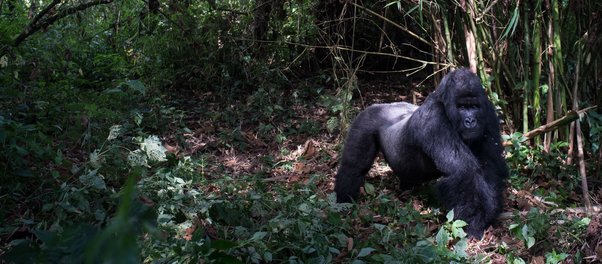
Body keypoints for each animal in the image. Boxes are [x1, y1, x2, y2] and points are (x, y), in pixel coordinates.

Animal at [332, 69, 506, 238]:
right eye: (462, 107)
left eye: (474, 107)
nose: (471, 121)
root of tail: (381, 104)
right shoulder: (434, 120)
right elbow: (463, 172)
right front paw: (474, 222)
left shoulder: (487, 112)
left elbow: (490, 165)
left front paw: (489, 215)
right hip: (365, 118)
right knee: (353, 167)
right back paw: (344, 200)